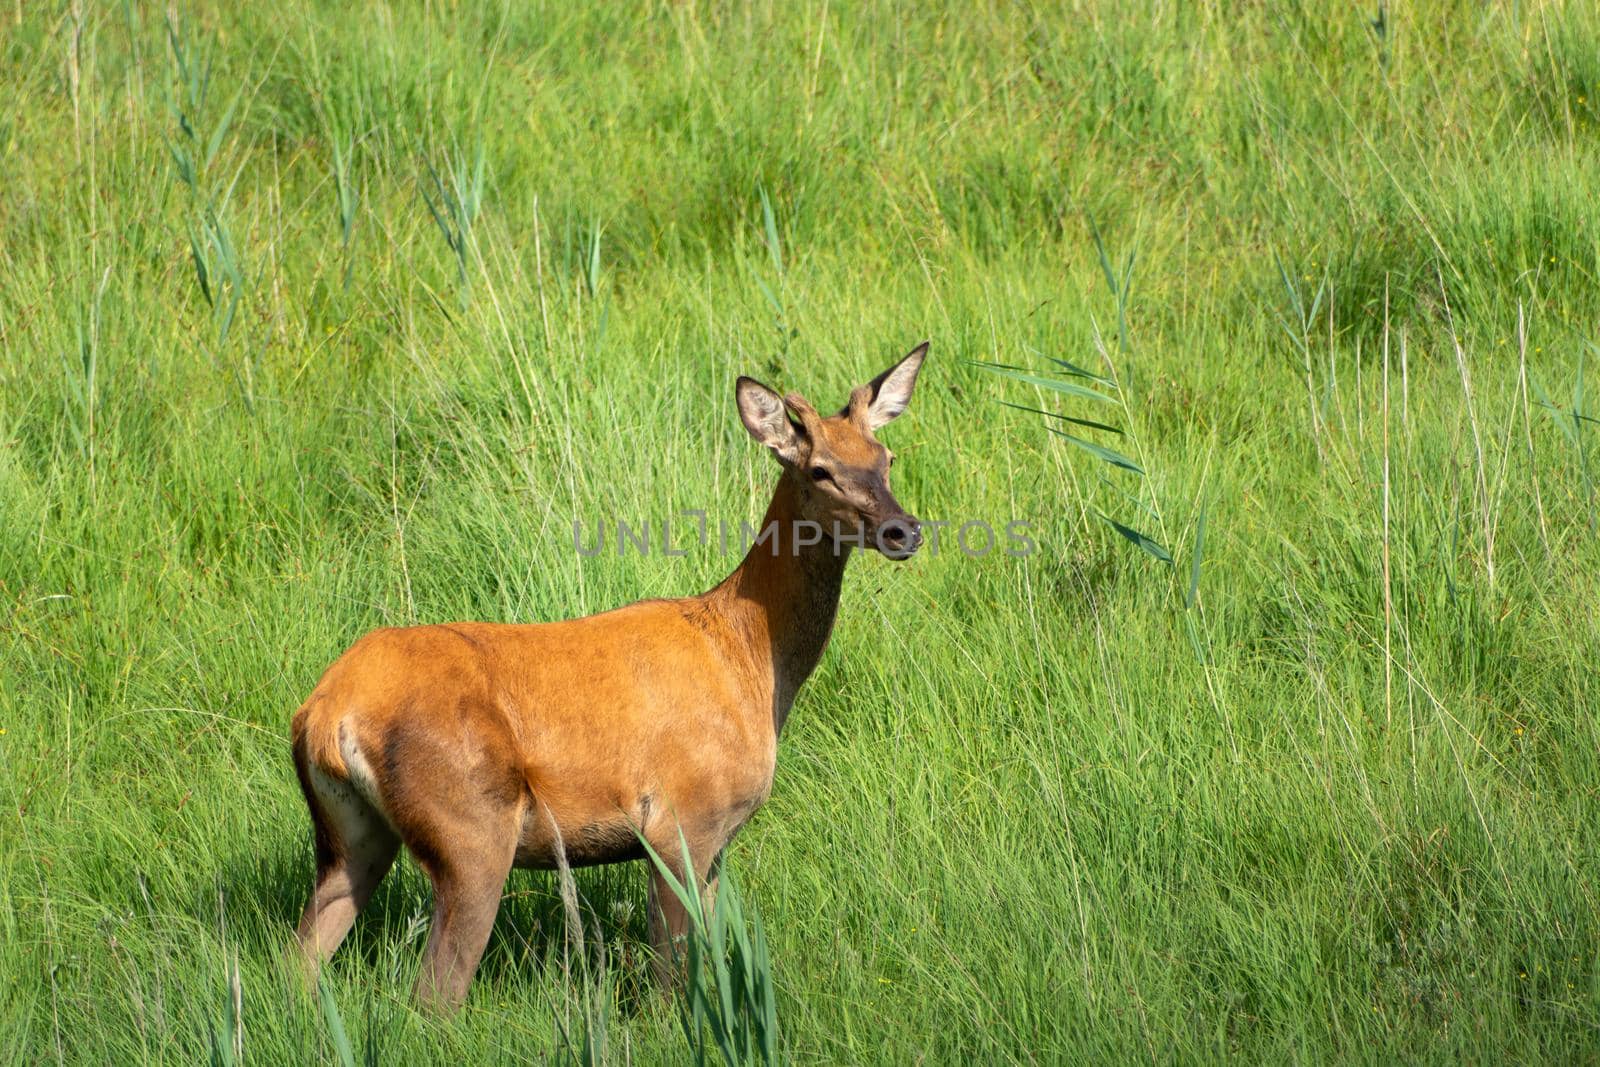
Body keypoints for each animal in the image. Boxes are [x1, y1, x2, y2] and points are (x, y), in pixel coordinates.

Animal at [294, 340, 934, 1011]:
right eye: (819, 470)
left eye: (886, 458)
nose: (905, 529)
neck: (752, 663)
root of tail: (326, 715)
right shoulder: (682, 817)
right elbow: (671, 975)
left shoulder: (714, 843)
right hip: (469, 825)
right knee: (433, 993)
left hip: (350, 836)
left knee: (300, 960)